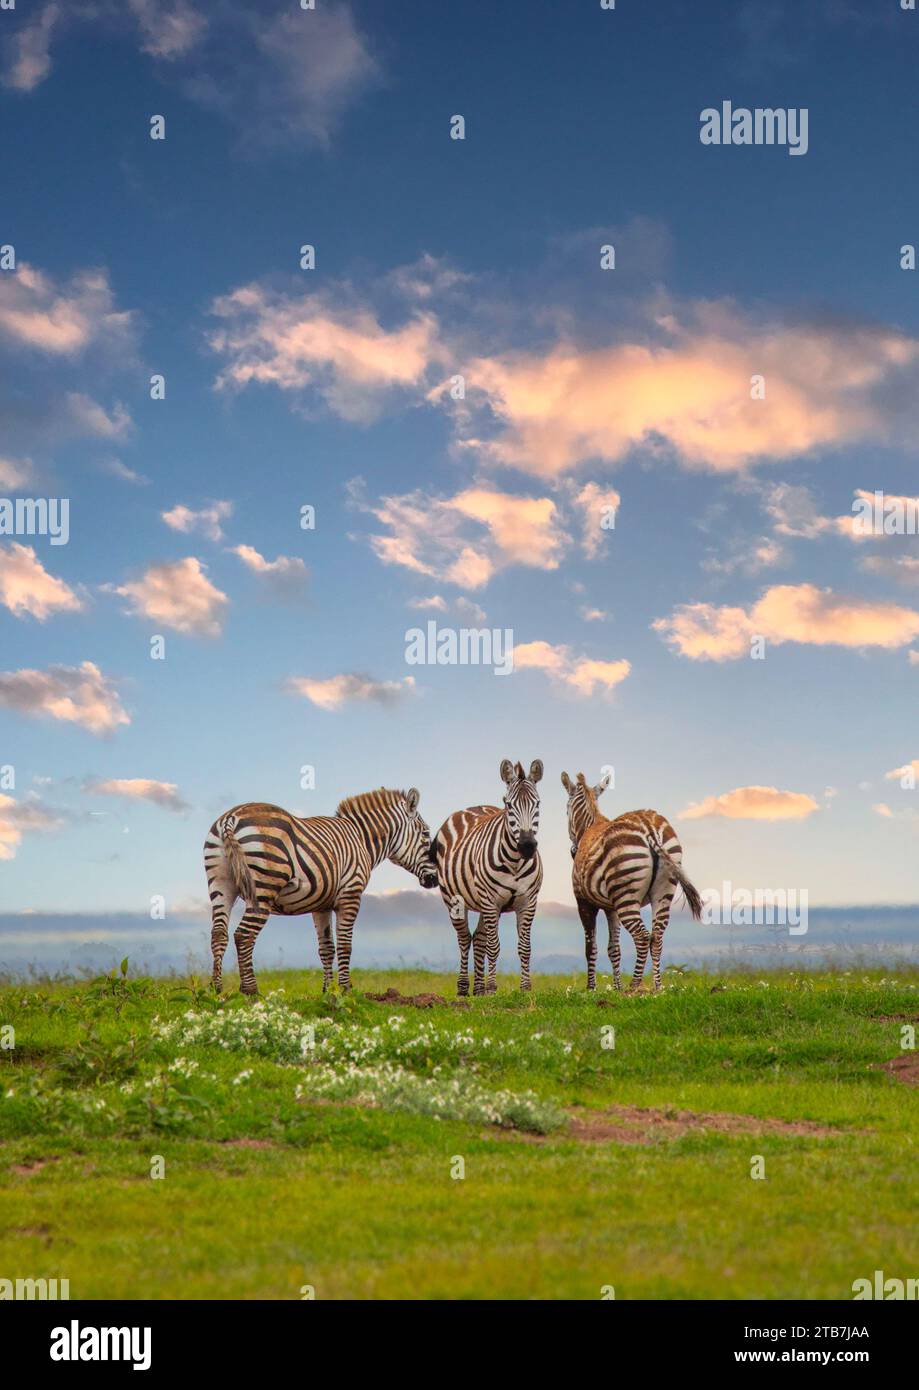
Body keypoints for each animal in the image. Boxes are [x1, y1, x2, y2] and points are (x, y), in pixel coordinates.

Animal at [202, 789, 436, 995]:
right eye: (426, 834)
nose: (434, 880)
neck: (361, 839)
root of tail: (231, 817)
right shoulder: (350, 895)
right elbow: (345, 945)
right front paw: (345, 989)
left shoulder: (321, 905)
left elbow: (327, 949)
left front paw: (327, 991)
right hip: (265, 884)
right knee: (243, 935)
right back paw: (250, 991)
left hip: (220, 884)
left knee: (219, 934)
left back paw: (216, 989)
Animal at [430, 761, 542, 1000]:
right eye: (508, 805)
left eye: (537, 803)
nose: (527, 846)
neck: (515, 861)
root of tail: (470, 808)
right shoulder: (491, 901)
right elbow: (494, 946)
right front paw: (492, 988)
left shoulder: (528, 902)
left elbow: (524, 947)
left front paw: (525, 988)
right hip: (455, 900)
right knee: (464, 938)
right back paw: (464, 988)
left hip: (483, 903)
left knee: (479, 938)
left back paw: (479, 989)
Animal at [558, 772, 703, 989]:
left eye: (566, 811)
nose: (573, 851)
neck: (591, 825)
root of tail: (649, 829)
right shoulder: (611, 907)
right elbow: (614, 949)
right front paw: (616, 988)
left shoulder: (583, 902)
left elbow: (590, 948)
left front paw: (591, 988)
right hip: (663, 892)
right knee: (656, 937)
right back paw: (657, 987)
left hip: (626, 894)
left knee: (642, 937)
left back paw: (634, 986)